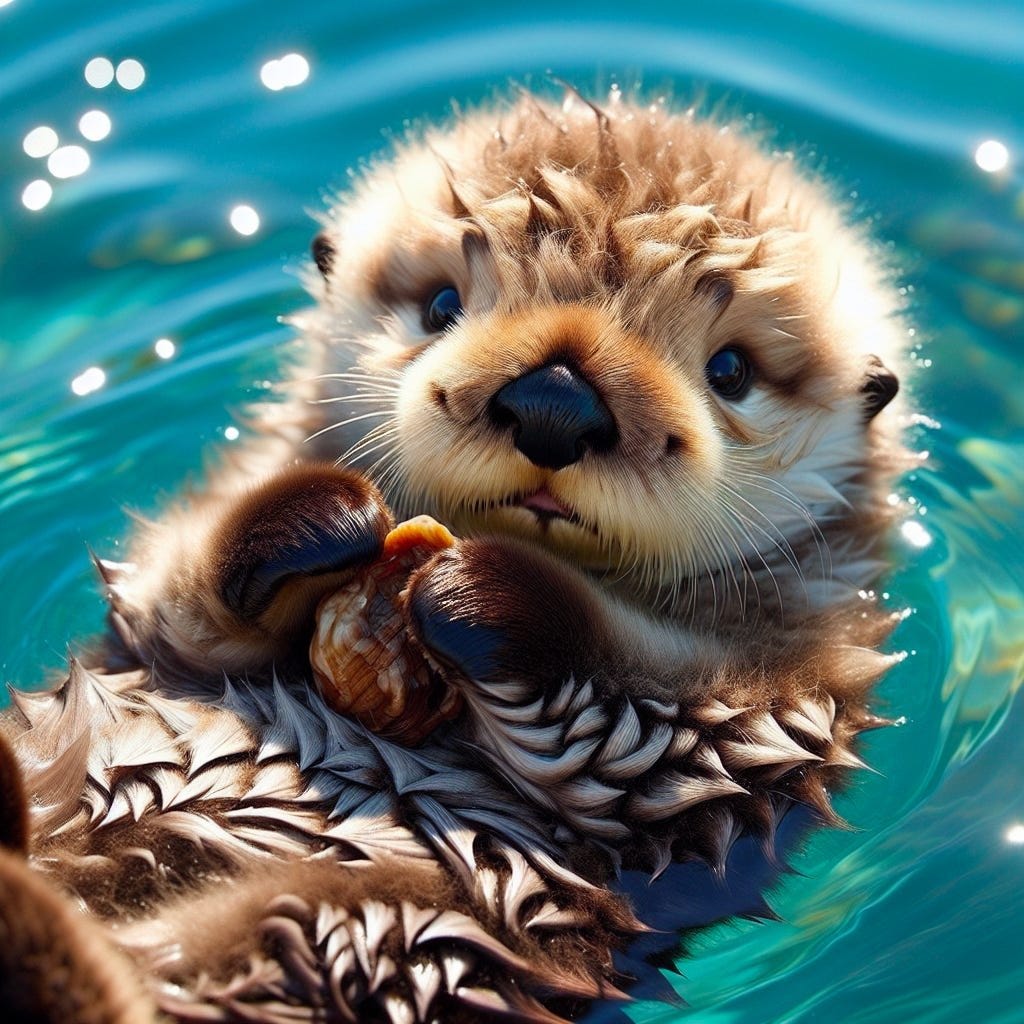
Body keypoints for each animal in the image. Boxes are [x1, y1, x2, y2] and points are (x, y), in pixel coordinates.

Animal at [1, 89, 907, 1023]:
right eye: (440, 305)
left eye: (730, 370)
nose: (554, 404)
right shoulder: (168, 614)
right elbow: (171, 598)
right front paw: (321, 517)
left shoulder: (787, 689)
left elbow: (680, 724)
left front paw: (473, 589)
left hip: (334, 930)